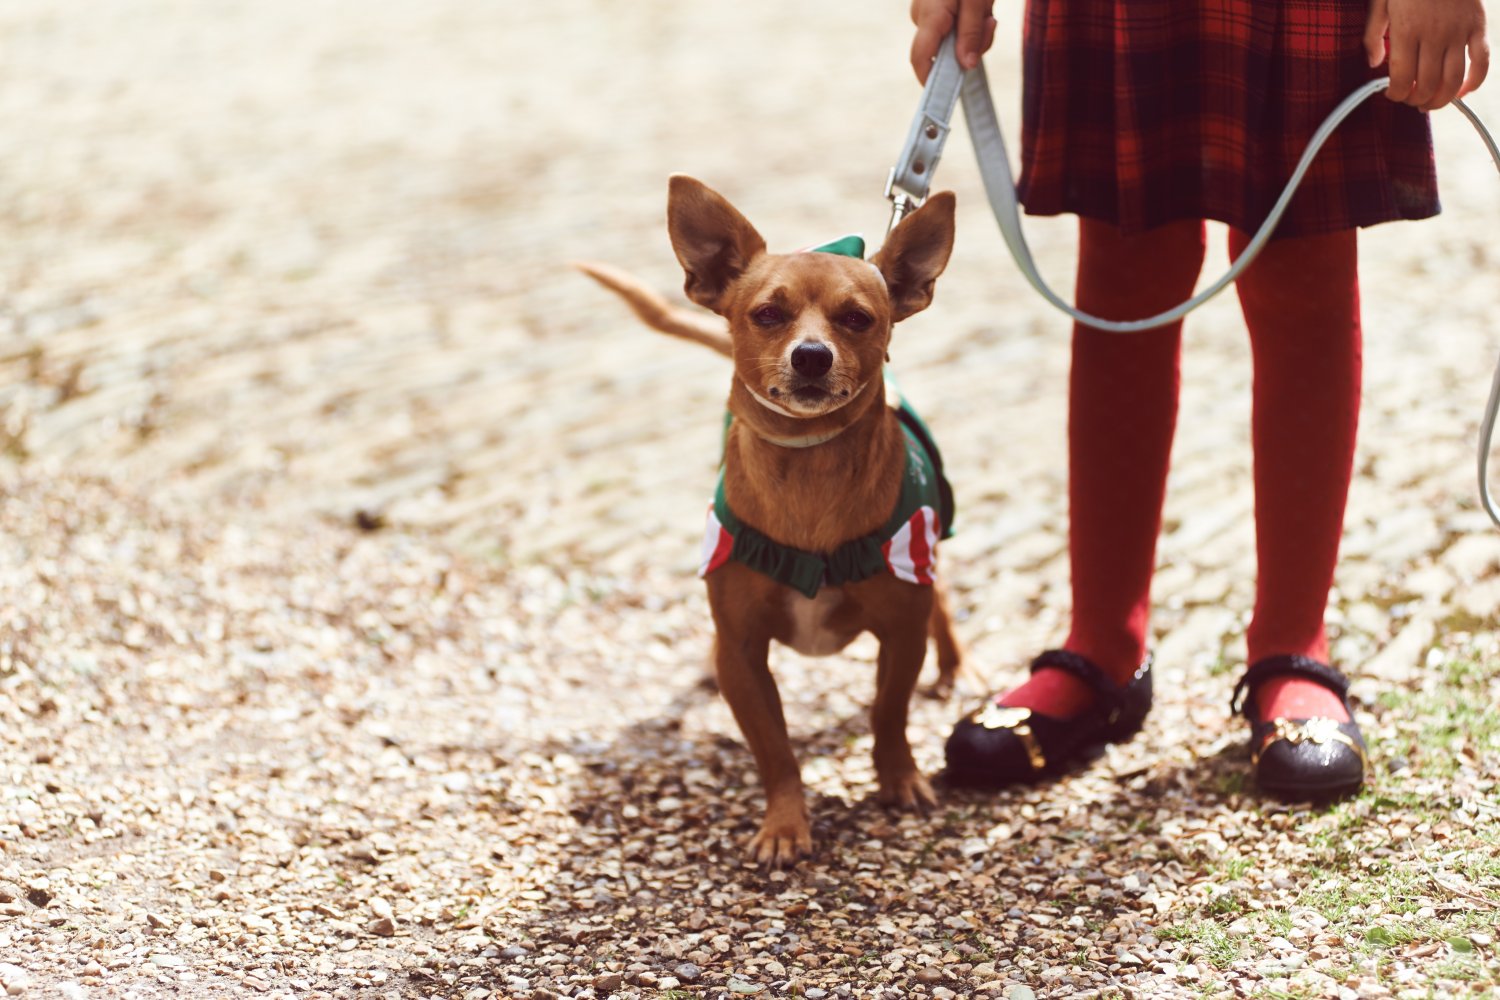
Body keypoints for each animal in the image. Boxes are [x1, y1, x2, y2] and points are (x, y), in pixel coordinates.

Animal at [579, 176, 966, 863]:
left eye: (857, 318)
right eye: (766, 314)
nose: (811, 356)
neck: (809, 473)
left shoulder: (900, 630)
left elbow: (886, 714)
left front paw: (899, 778)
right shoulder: (743, 654)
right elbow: (775, 750)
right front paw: (785, 824)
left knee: (939, 600)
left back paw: (950, 667)